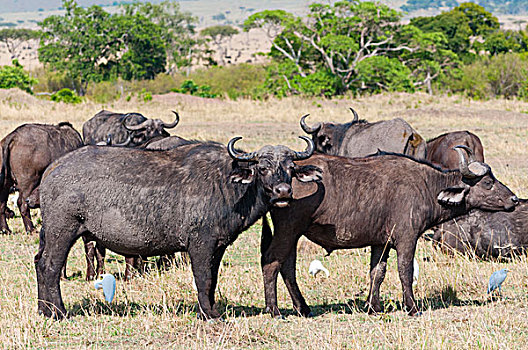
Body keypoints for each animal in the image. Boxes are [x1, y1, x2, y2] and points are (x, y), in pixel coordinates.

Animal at [35, 137, 322, 320]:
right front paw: (208, 315)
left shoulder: (218, 247)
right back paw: (58, 312)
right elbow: (203, 279)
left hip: (49, 235)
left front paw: (211, 309)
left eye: (290, 168)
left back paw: (43, 309)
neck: (226, 185)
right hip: (62, 232)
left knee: (38, 262)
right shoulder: (200, 245)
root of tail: (53, 169)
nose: (283, 191)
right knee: (50, 266)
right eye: (262, 168)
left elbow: (212, 280)